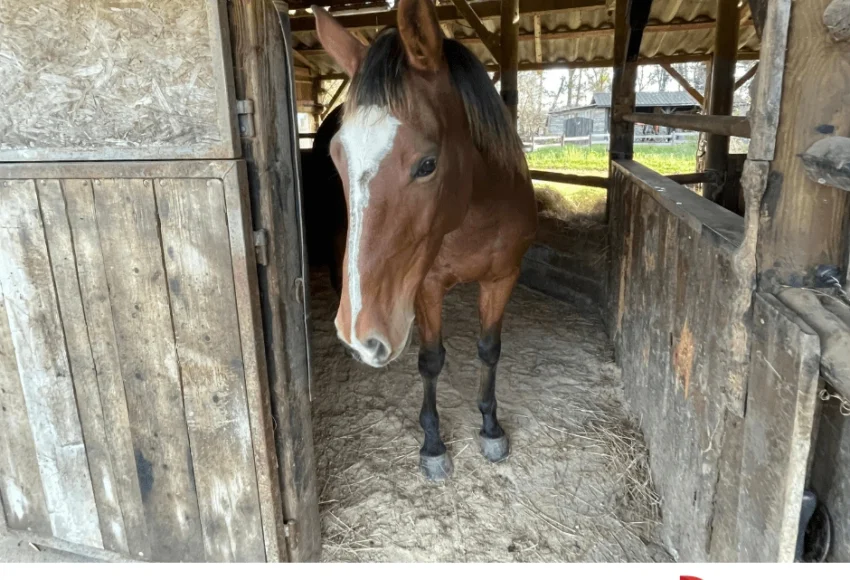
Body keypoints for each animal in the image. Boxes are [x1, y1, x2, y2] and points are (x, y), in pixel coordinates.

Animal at [313, 0, 538, 481]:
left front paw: (491, 427)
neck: (476, 212)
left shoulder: (503, 277)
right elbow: (431, 359)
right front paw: (433, 444)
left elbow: (489, 350)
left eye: (427, 164)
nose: (363, 336)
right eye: (339, 158)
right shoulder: (426, 286)